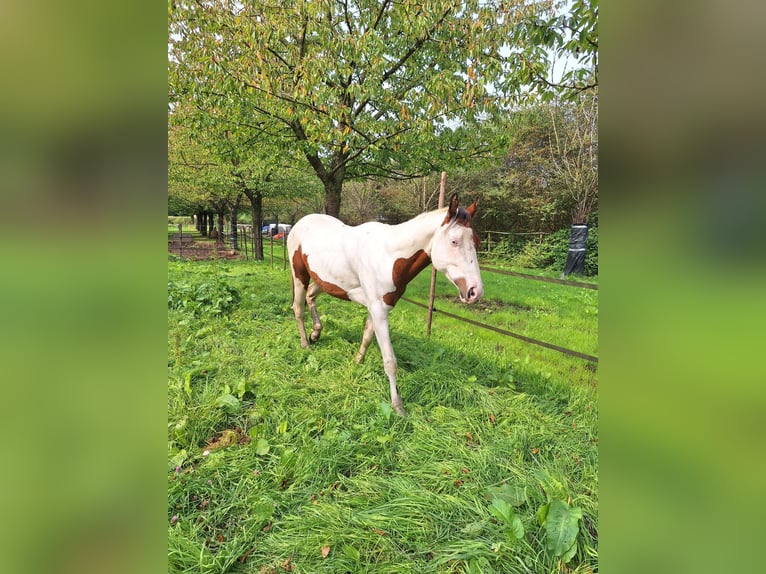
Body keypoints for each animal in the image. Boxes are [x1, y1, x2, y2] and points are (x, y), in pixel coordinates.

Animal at [290, 196, 486, 416]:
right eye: (454, 241)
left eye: (477, 241)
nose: (475, 291)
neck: (388, 257)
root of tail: (301, 222)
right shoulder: (378, 310)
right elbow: (390, 361)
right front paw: (398, 406)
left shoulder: (377, 308)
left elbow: (367, 337)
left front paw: (357, 362)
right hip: (299, 275)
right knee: (298, 308)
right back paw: (305, 344)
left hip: (323, 281)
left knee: (310, 296)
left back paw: (316, 333)